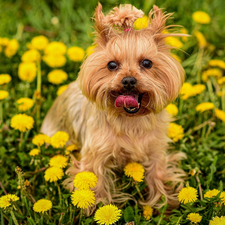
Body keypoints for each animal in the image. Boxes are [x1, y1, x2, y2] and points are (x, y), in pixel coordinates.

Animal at [41, 3, 185, 211]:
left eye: (147, 63)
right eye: (111, 65)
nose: (128, 80)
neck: (131, 120)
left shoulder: (156, 149)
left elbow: (157, 175)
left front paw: (165, 202)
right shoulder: (95, 154)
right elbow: (94, 181)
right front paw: (95, 208)